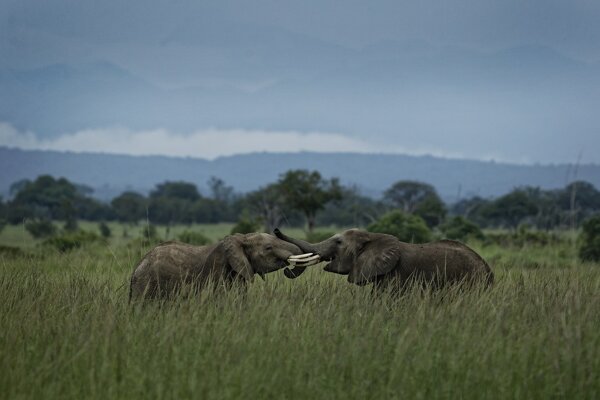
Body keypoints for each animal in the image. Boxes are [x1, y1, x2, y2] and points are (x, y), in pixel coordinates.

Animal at [128, 231, 318, 300]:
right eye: (268, 248)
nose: (288, 269)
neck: (241, 238)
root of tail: (136, 268)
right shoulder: (217, 270)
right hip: (146, 285)